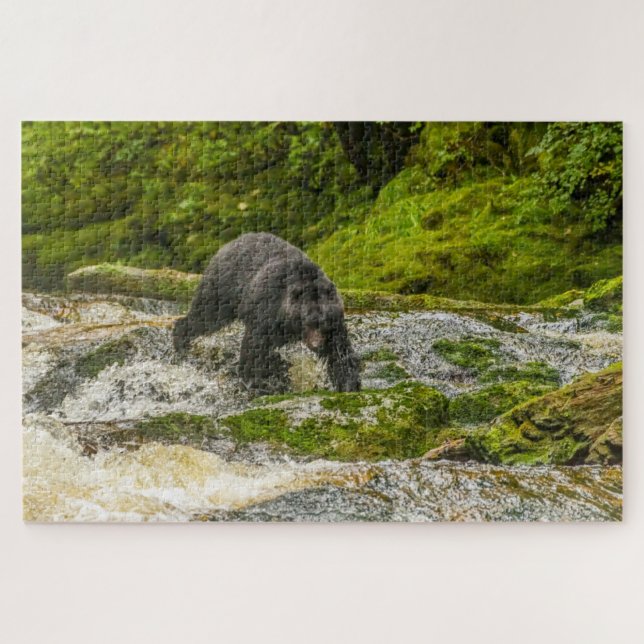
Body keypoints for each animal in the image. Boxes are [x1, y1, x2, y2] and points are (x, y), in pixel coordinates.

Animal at [173, 233, 360, 394]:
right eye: (307, 321)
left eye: (323, 322)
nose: (317, 345)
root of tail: (229, 244)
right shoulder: (267, 310)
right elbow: (255, 346)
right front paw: (254, 381)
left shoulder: (335, 324)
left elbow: (340, 353)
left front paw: (349, 385)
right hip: (223, 289)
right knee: (205, 316)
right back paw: (181, 342)